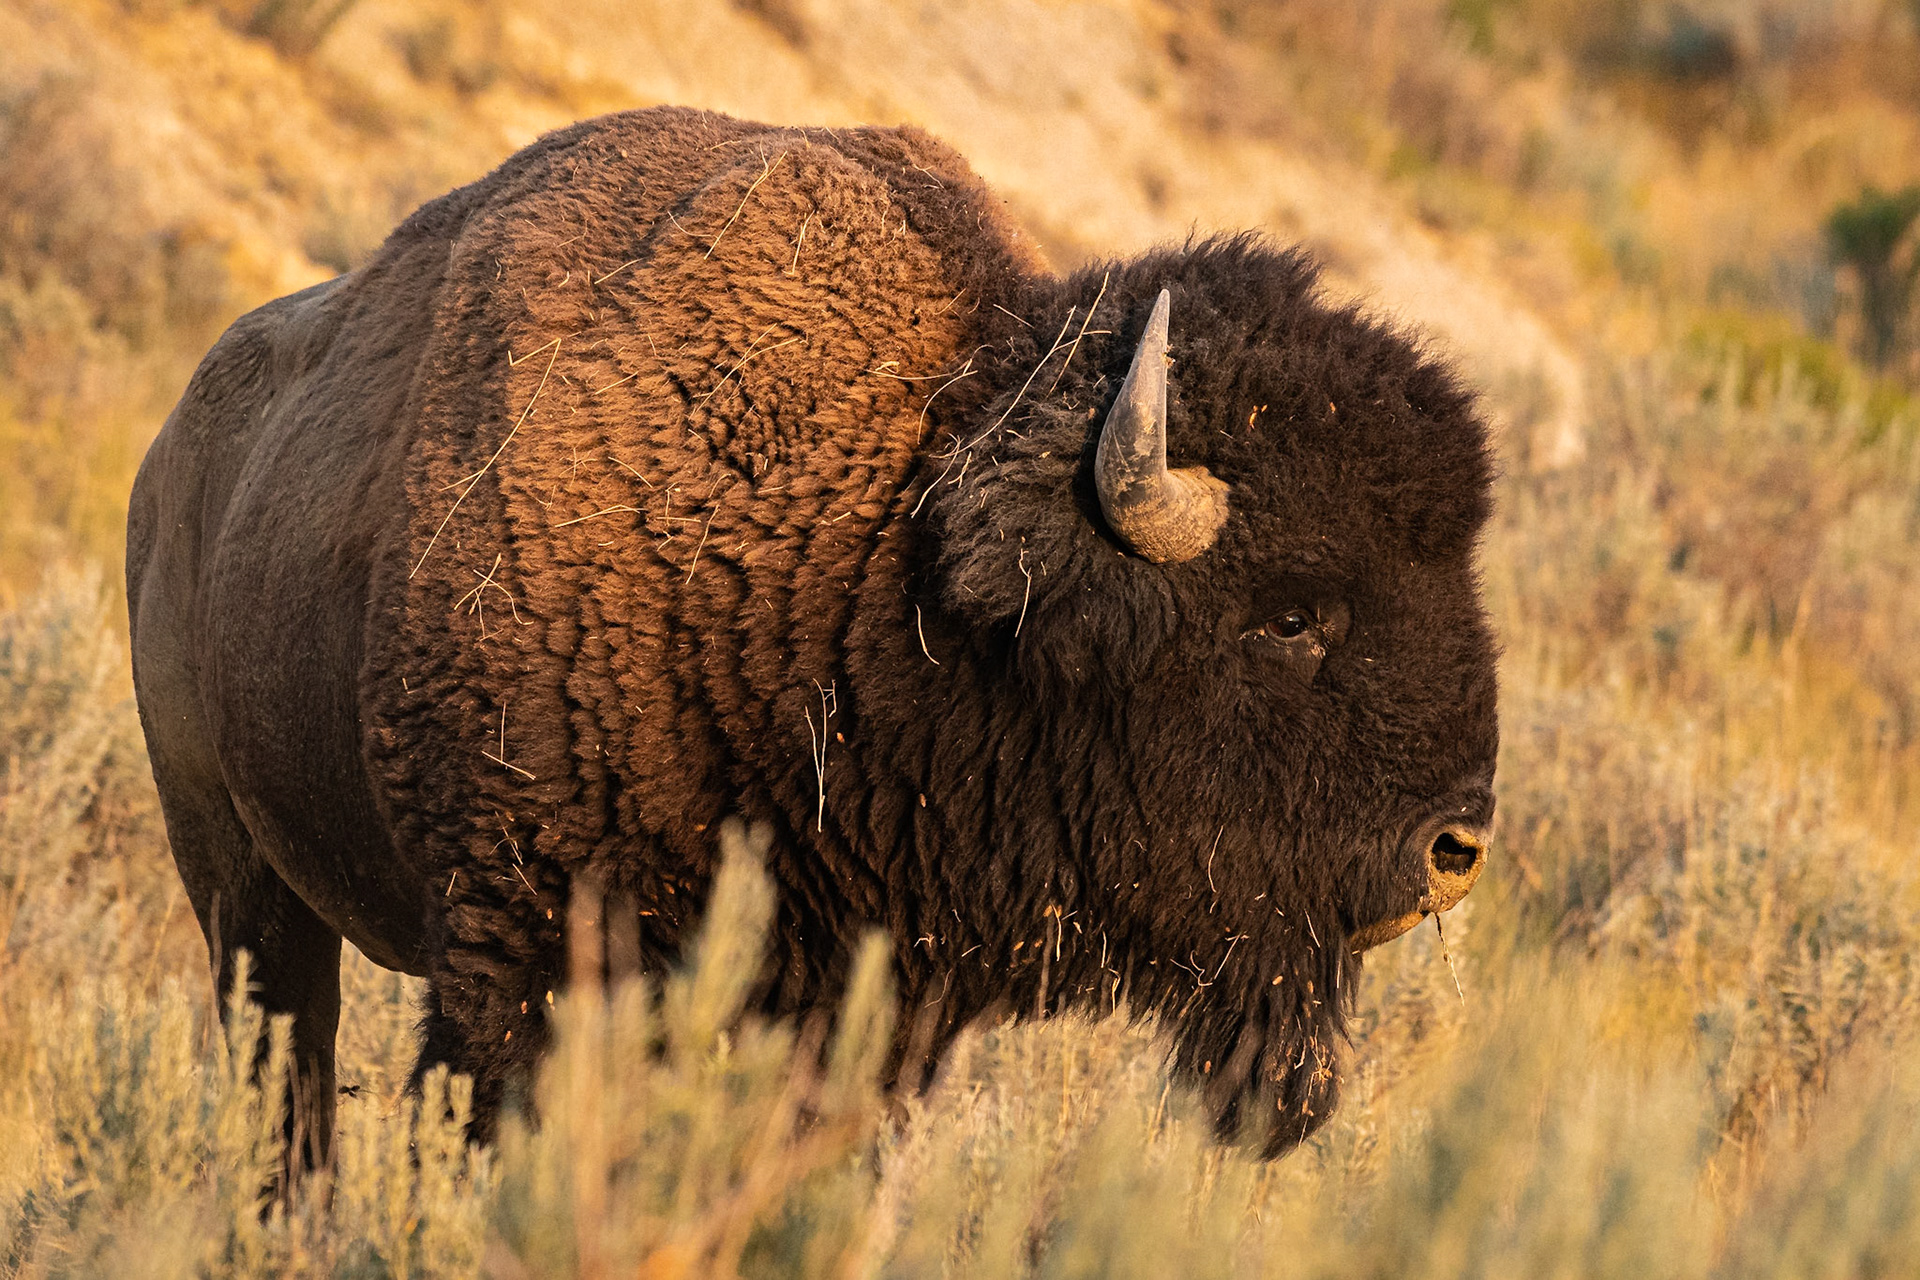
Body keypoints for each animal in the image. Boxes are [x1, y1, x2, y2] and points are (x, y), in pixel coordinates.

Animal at [127, 106, 1497, 1169]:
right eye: (1291, 612)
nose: (1455, 849)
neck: (883, 547)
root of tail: (172, 453)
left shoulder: (866, 1017)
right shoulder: (522, 967)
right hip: (239, 882)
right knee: (287, 1082)